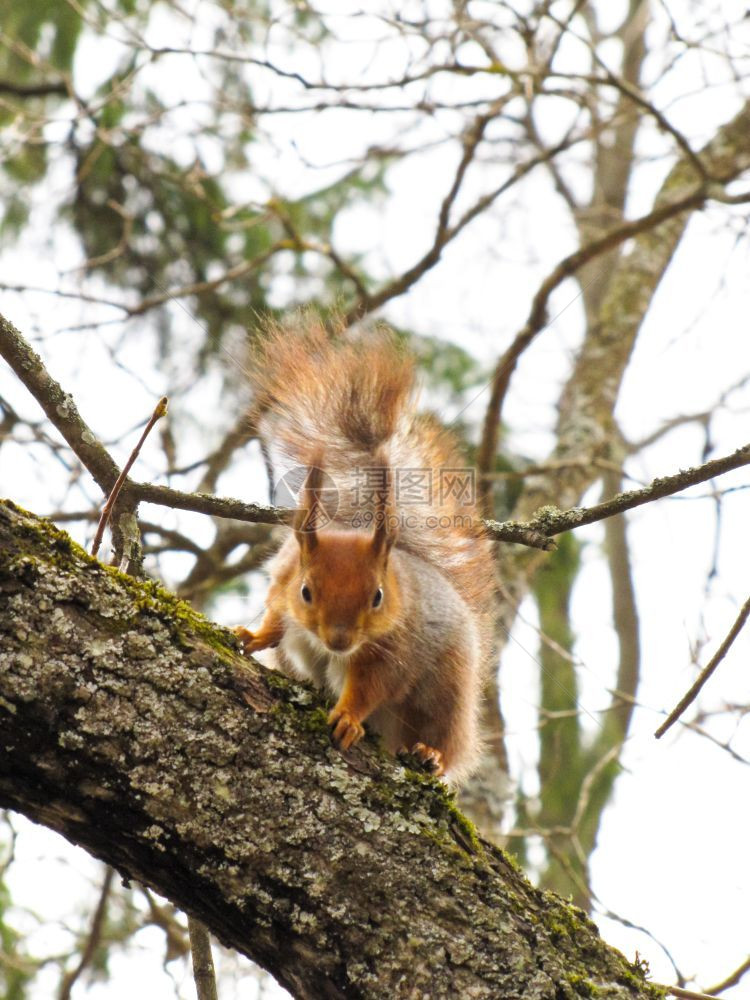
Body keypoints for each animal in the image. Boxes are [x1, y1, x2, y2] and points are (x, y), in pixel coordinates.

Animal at [234, 318, 494, 780]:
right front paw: (254, 635)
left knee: (444, 738)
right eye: (306, 591)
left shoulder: (395, 651)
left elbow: (372, 687)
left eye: (378, 596)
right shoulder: (283, 581)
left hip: (447, 690)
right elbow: (277, 619)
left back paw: (430, 754)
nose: (339, 640)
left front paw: (349, 718)